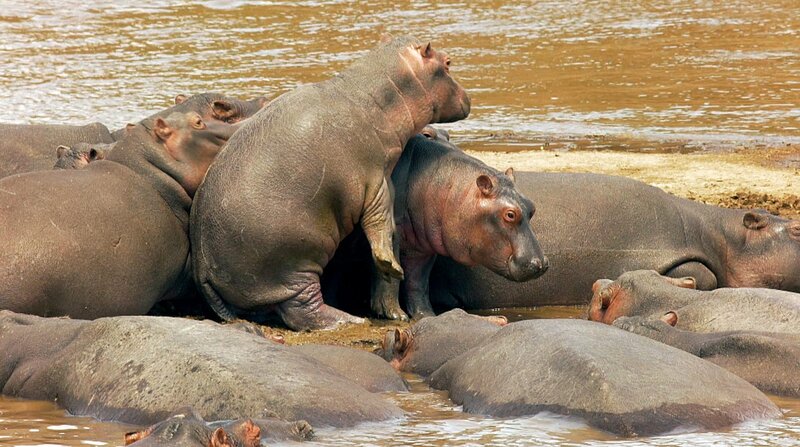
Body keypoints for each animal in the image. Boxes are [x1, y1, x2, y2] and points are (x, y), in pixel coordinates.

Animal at [191, 35, 470, 331]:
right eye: (448, 62)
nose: (469, 98)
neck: (376, 96)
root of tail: (201, 268)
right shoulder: (376, 179)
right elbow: (380, 223)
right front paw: (391, 265)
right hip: (293, 266)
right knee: (303, 308)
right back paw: (349, 320)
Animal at [324, 131, 547, 321]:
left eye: (532, 207)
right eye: (510, 214)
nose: (542, 263)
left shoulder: (422, 245)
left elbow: (418, 282)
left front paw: (427, 315)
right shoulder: (391, 231)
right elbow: (389, 274)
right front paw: (396, 316)